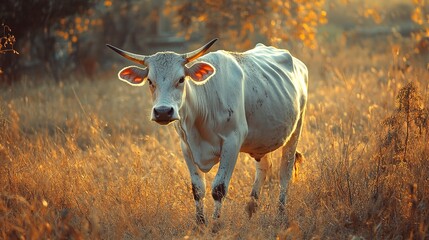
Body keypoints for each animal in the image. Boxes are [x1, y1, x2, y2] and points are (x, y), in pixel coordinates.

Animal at [107, 38, 308, 224]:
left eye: (181, 79)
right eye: (150, 81)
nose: (163, 112)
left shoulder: (232, 143)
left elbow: (219, 188)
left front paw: (215, 225)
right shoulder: (186, 146)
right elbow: (197, 189)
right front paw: (200, 224)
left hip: (295, 130)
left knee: (285, 173)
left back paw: (280, 215)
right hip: (261, 139)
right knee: (264, 168)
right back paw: (251, 210)